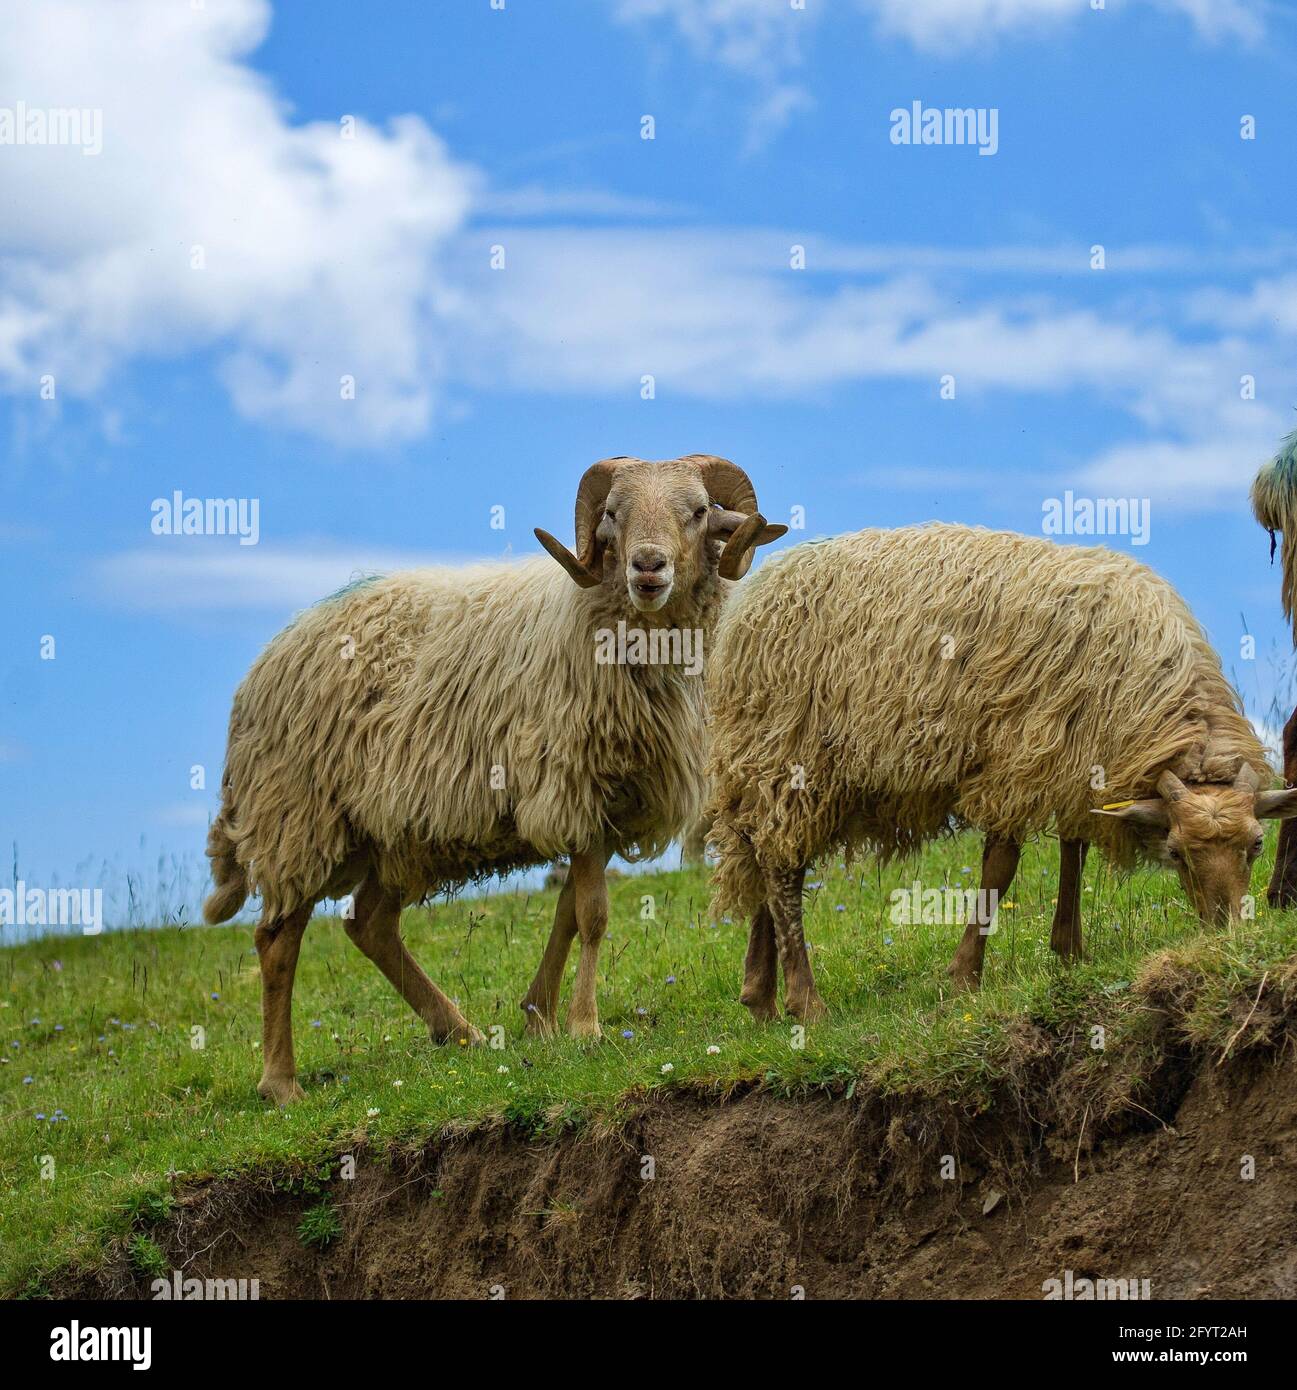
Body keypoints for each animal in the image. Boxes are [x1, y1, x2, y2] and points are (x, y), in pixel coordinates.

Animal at [204, 450, 784, 1100]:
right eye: (612, 513)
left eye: (700, 511)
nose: (648, 566)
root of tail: (265, 663)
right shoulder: (572, 791)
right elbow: (593, 916)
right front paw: (585, 1026)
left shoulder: (601, 809)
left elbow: (567, 914)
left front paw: (540, 1018)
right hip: (298, 818)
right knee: (278, 942)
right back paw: (281, 1083)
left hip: (391, 835)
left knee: (369, 925)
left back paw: (458, 1032)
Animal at [708, 519, 1295, 1011]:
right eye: (1176, 851)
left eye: (1256, 845)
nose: (1227, 933)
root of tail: (754, 593)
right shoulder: (1017, 758)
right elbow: (1001, 869)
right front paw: (965, 977)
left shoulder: (1072, 759)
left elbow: (1073, 847)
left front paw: (1070, 950)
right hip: (792, 753)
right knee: (781, 869)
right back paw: (804, 1001)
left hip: (769, 766)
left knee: (765, 857)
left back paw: (759, 995)